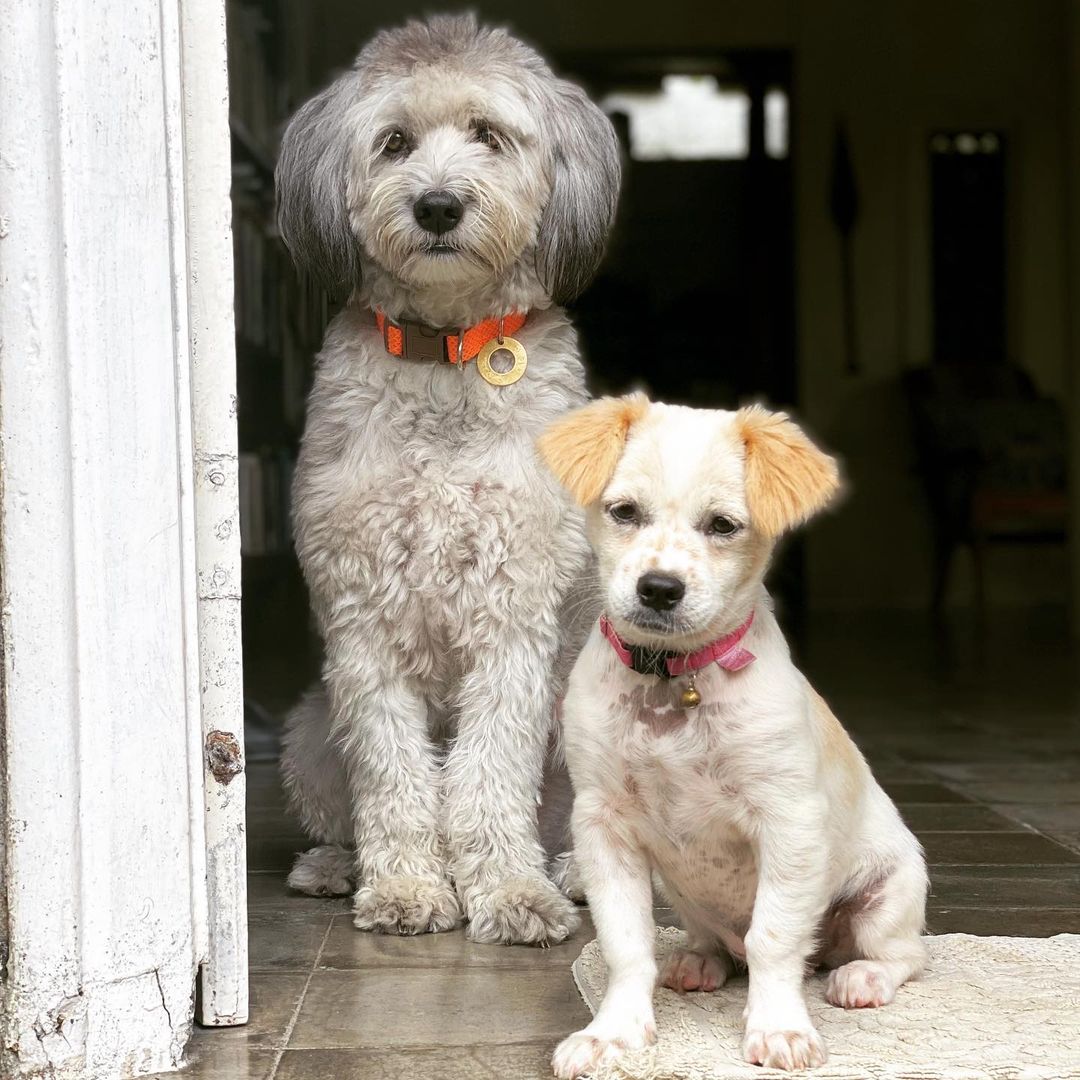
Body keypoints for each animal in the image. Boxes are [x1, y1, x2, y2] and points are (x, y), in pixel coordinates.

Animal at [274, 14, 622, 946]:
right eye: (394, 142)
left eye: (488, 135)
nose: (436, 206)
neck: (446, 354)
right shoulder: (362, 623)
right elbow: (394, 775)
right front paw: (405, 886)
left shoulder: (514, 621)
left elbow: (490, 772)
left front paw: (509, 891)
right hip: (308, 729)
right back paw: (335, 867)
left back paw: (570, 872)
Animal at [540, 399, 928, 1080]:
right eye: (624, 512)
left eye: (722, 526)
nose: (659, 589)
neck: (672, 680)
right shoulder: (602, 824)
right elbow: (624, 943)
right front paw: (613, 1033)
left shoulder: (788, 820)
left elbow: (773, 937)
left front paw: (777, 1029)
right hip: (679, 889)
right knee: (715, 943)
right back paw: (697, 961)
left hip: (891, 893)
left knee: (900, 955)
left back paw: (862, 978)